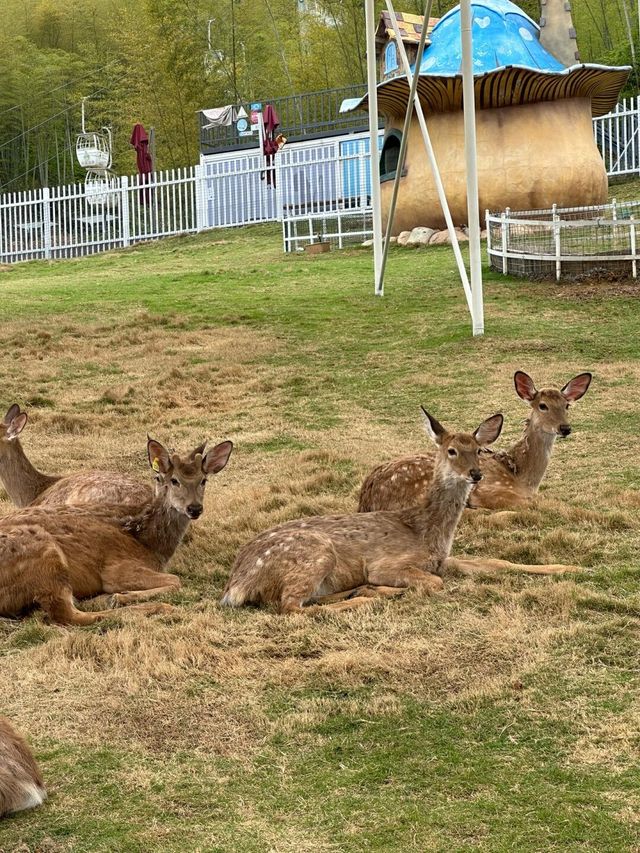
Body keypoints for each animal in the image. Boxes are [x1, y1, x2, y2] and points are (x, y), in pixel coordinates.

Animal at [0, 432, 232, 624]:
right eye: (174, 480)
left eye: (203, 480)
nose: (195, 508)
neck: (149, 542)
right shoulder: (117, 568)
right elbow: (176, 580)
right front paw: (124, 596)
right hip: (45, 554)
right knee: (67, 614)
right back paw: (154, 606)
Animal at [358, 368, 592, 512]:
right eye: (542, 405)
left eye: (567, 405)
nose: (565, 428)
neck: (522, 476)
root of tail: (366, 496)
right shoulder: (491, 490)